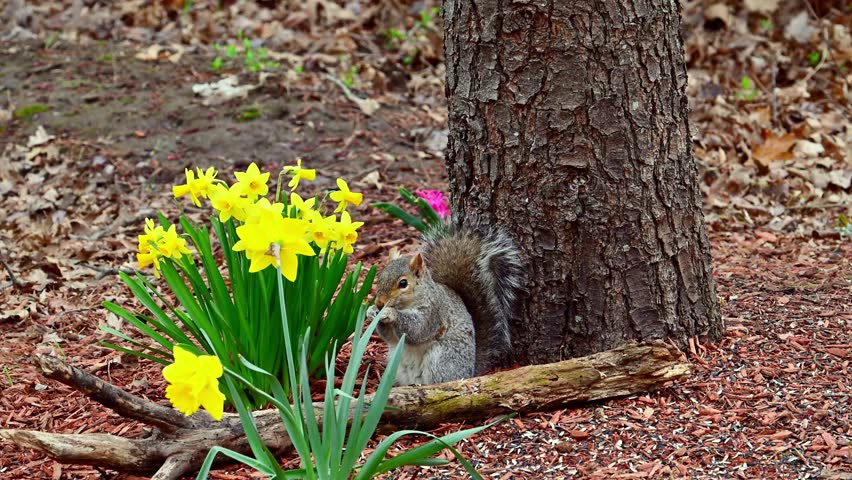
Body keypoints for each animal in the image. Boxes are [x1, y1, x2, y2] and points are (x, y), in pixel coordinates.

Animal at [366, 221, 523, 386]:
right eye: (380, 277)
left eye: (403, 283)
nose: (379, 302)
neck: (408, 304)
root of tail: (469, 372)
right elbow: (389, 337)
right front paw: (371, 311)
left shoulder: (433, 312)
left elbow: (416, 330)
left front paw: (390, 313)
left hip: (440, 359)